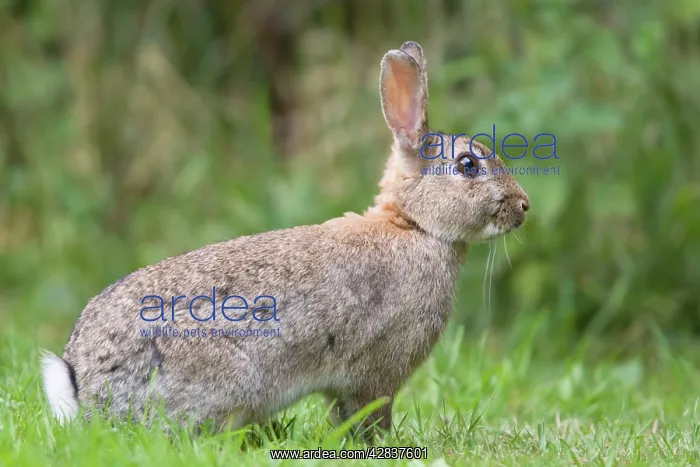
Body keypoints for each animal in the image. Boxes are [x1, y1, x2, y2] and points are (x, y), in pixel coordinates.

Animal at [41, 41, 530, 439]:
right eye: (467, 165)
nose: (523, 206)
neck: (414, 225)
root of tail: (85, 386)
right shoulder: (376, 372)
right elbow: (367, 413)